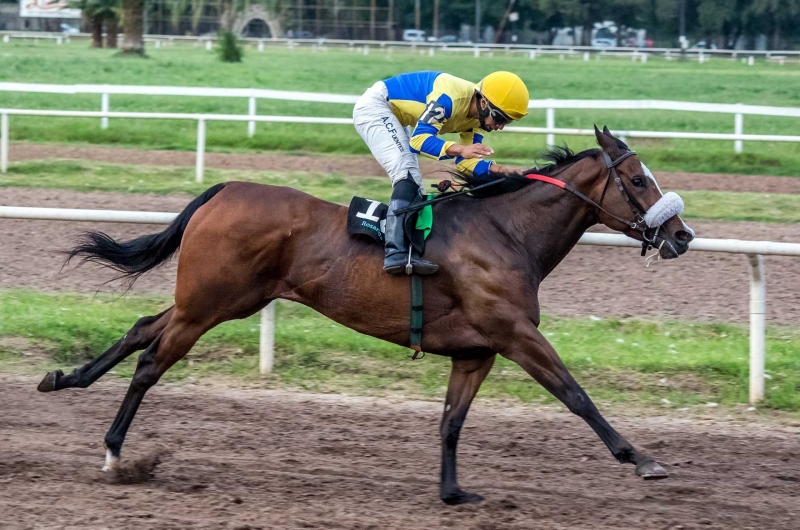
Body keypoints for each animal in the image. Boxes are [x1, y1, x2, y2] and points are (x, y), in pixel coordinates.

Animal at [37, 127, 692, 504]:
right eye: (639, 179)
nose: (682, 236)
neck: (505, 230)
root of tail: (224, 189)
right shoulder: (515, 334)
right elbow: (576, 395)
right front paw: (643, 460)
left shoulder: (475, 351)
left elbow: (451, 422)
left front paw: (453, 491)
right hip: (212, 304)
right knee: (151, 360)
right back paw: (114, 452)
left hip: (210, 299)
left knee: (139, 330)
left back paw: (64, 378)